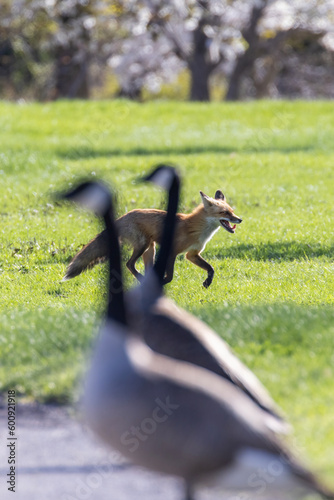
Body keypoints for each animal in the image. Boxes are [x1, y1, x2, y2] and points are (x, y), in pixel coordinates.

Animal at [63, 189, 240, 288]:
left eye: (232, 211)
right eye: (225, 213)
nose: (240, 219)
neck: (195, 228)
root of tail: (123, 217)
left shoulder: (192, 254)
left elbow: (211, 268)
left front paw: (207, 282)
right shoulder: (172, 251)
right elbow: (170, 276)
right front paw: (163, 282)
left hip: (150, 248)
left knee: (144, 268)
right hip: (143, 244)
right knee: (129, 264)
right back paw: (142, 281)